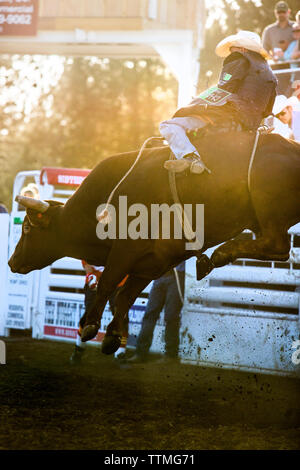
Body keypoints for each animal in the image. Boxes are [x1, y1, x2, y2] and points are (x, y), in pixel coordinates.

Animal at [8, 130, 300, 354]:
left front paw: (90, 324)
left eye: (27, 228)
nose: (12, 261)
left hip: (268, 209)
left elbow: (108, 284)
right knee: (277, 248)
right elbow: (126, 295)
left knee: (278, 245)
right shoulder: (154, 261)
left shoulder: (126, 249)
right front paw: (112, 336)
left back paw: (221, 254)